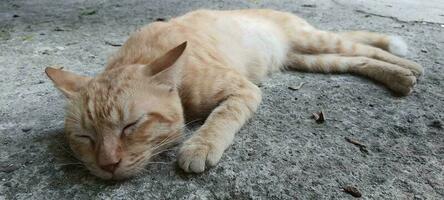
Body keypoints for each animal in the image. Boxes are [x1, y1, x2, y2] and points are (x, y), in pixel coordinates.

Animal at [45, 9, 424, 180]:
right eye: (84, 137)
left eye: (130, 126)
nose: (107, 165)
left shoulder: (243, 90)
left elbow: (220, 117)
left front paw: (199, 145)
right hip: (313, 59)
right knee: (358, 59)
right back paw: (399, 76)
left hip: (316, 41)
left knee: (362, 45)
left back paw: (409, 66)